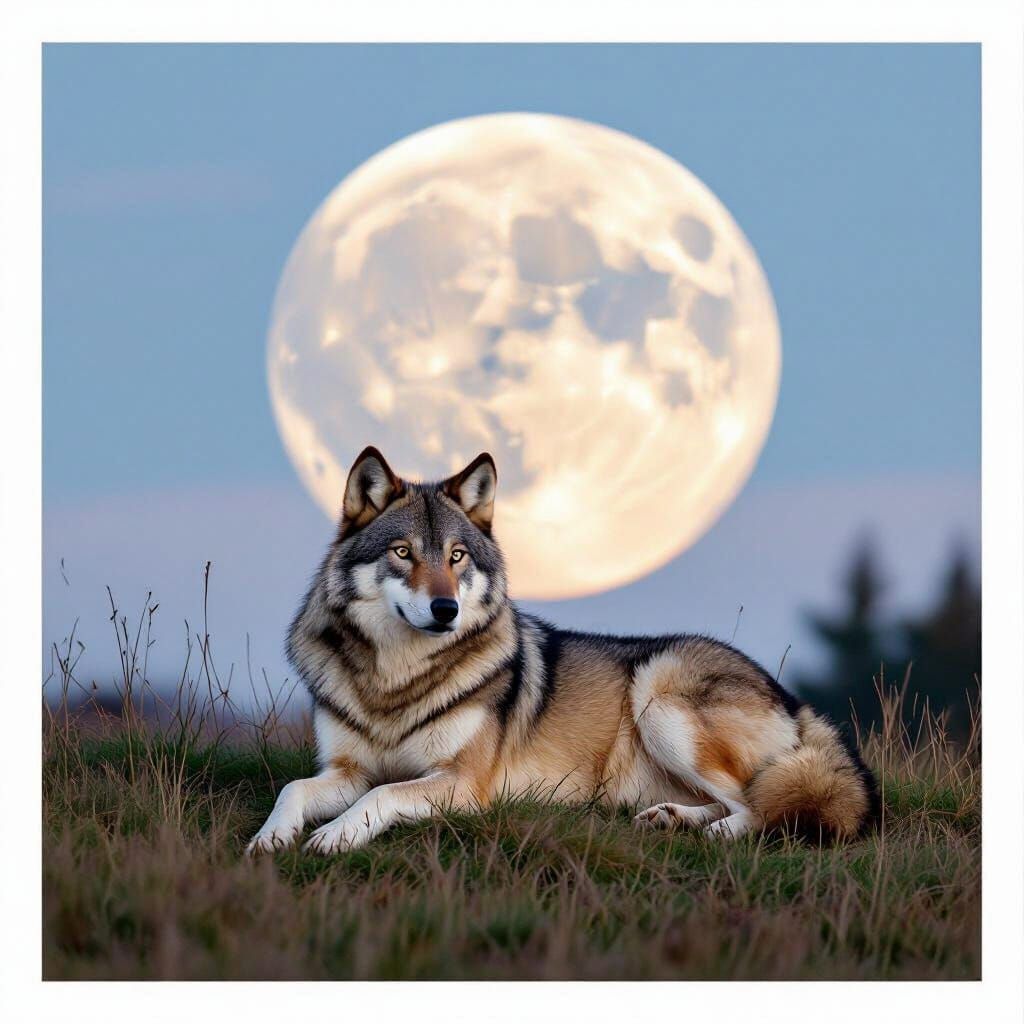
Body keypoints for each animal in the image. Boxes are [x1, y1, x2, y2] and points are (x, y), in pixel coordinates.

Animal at [248, 447, 878, 855]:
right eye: (403, 552)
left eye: (456, 556)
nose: (445, 609)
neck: (395, 682)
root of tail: (791, 698)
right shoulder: (346, 770)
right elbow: (294, 789)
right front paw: (271, 836)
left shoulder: (462, 784)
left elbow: (381, 796)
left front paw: (334, 835)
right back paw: (669, 820)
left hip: (659, 696)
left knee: (755, 806)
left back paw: (710, 833)